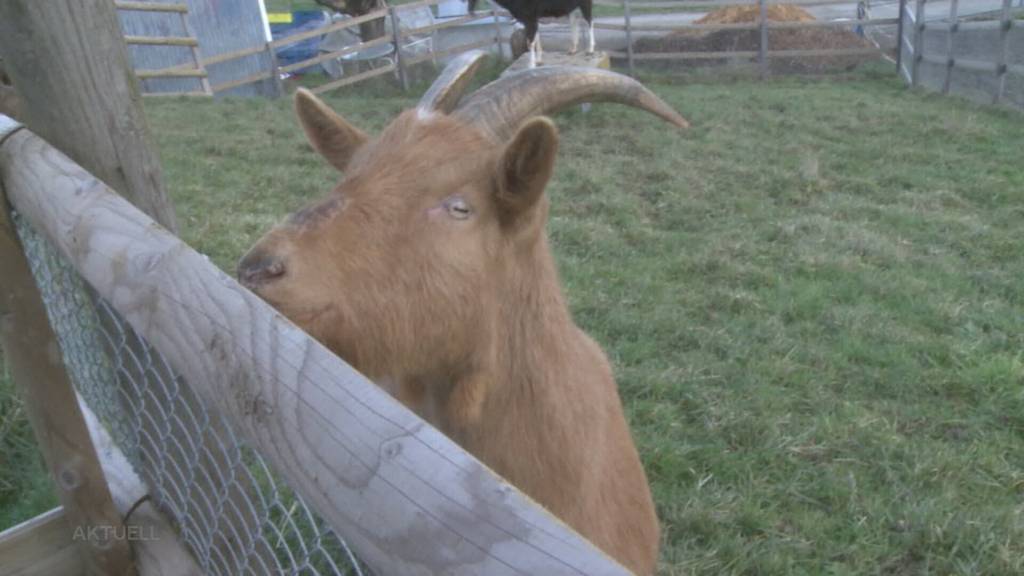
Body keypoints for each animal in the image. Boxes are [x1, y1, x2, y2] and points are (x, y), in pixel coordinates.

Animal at [468, 0, 598, 67]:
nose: (470, 11)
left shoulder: (530, 18)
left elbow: (530, 41)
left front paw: (531, 65)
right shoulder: (531, 19)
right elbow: (535, 38)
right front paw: (539, 60)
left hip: (585, 3)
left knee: (589, 21)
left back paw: (590, 50)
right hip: (571, 7)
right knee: (574, 22)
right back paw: (573, 49)